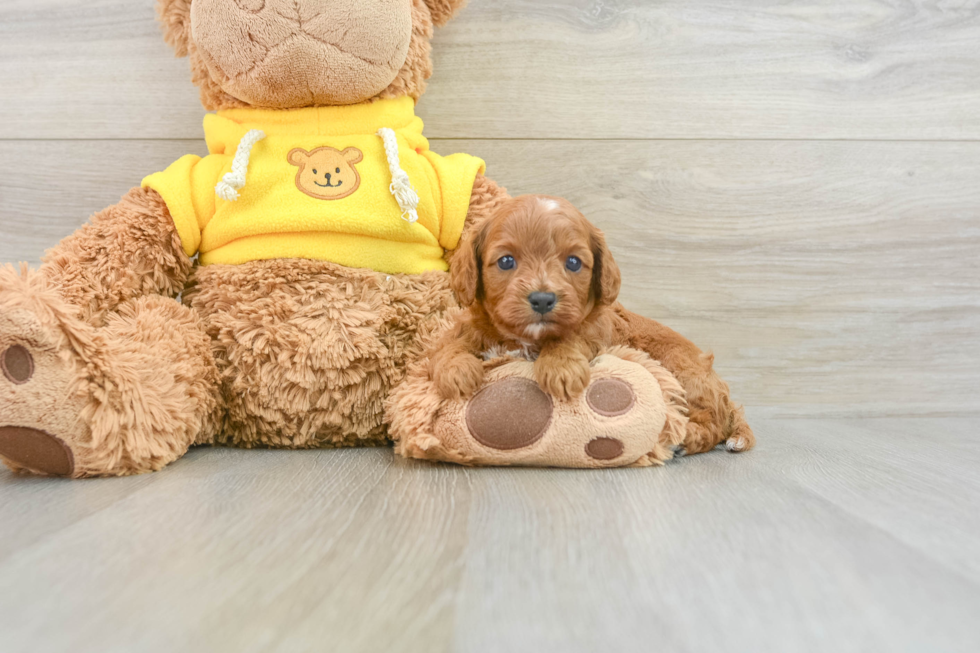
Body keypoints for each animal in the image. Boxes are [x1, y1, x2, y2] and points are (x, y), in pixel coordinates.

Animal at [430, 194, 756, 454]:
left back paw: (684, 438)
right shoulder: (473, 326)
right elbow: (450, 342)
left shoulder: (597, 329)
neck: (527, 338)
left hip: (683, 370)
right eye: (506, 261)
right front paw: (457, 371)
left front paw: (560, 367)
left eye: (573, 262)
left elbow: (574, 336)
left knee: (712, 421)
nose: (543, 299)